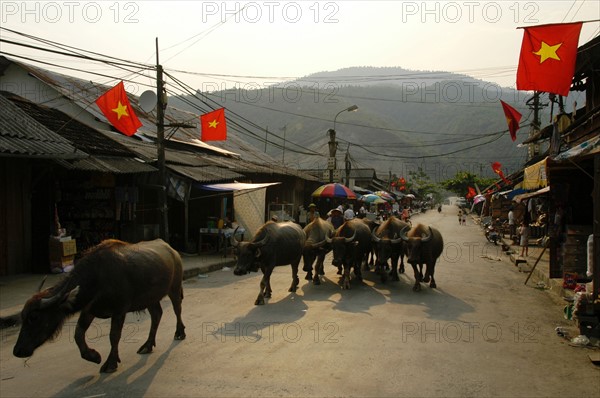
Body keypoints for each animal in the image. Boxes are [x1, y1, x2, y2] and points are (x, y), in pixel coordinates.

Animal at [13, 239, 185, 374]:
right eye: (23, 316)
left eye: (34, 317)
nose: (17, 351)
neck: (98, 278)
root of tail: (172, 250)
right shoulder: (89, 310)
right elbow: (78, 334)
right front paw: (93, 356)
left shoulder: (120, 310)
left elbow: (114, 336)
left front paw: (110, 363)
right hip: (150, 298)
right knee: (157, 314)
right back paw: (148, 345)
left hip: (174, 288)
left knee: (177, 309)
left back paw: (179, 332)